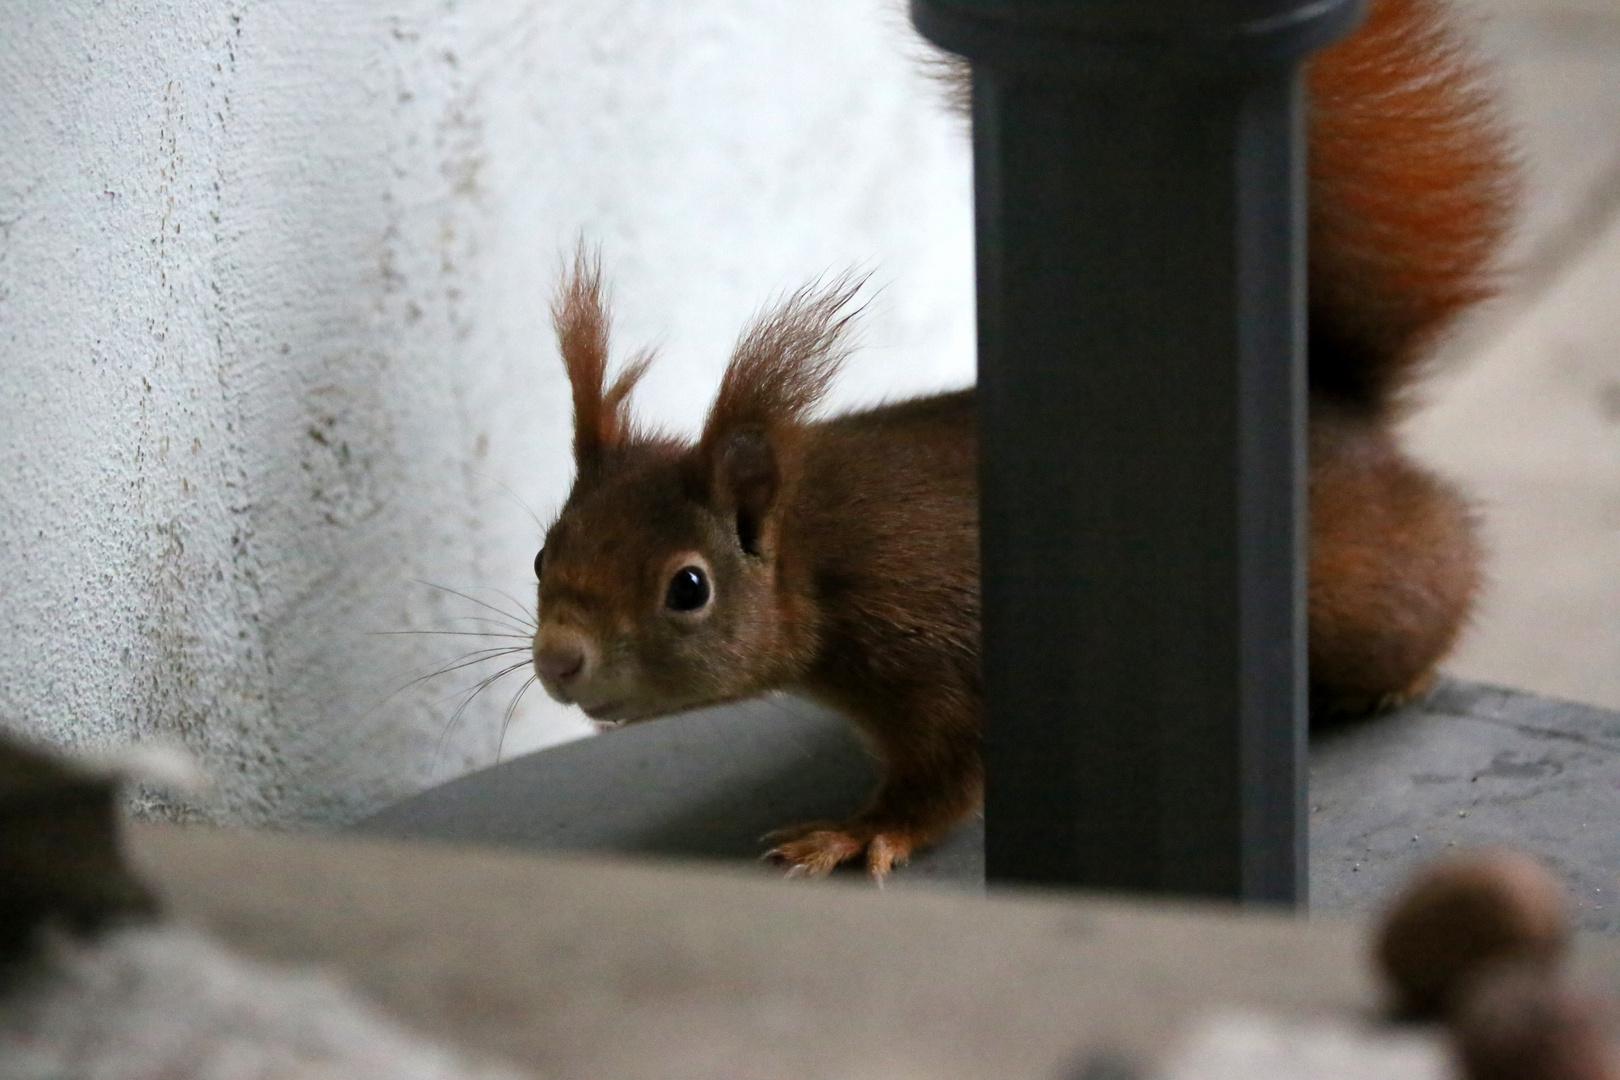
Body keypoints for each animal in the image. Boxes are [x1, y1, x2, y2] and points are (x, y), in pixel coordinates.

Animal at [531, 0, 1516, 880]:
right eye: (545, 554)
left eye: (688, 588)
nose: (558, 658)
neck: (818, 554)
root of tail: (1330, 407)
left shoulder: (934, 653)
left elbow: (946, 774)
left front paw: (855, 833)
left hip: (1370, 592)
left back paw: (1394, 679)